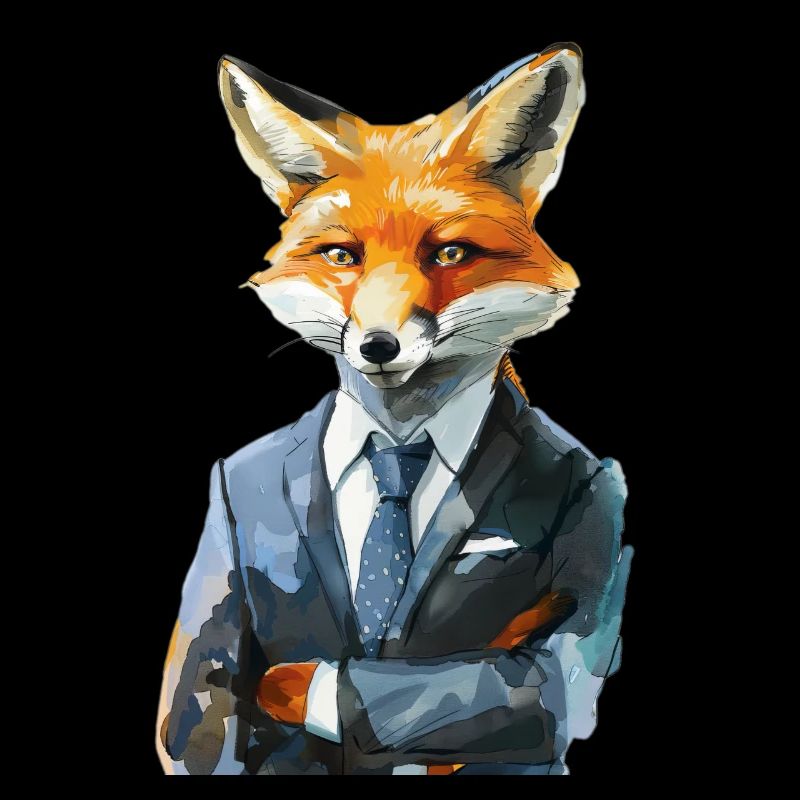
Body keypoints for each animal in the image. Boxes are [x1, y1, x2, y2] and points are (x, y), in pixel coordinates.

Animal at [158, 43, 631, 776]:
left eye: (449, 252)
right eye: (342, 256)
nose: (378, 345)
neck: (399, 439)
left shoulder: (602, 504)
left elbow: (534, 685)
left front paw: (300, 689)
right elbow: (206, 694)